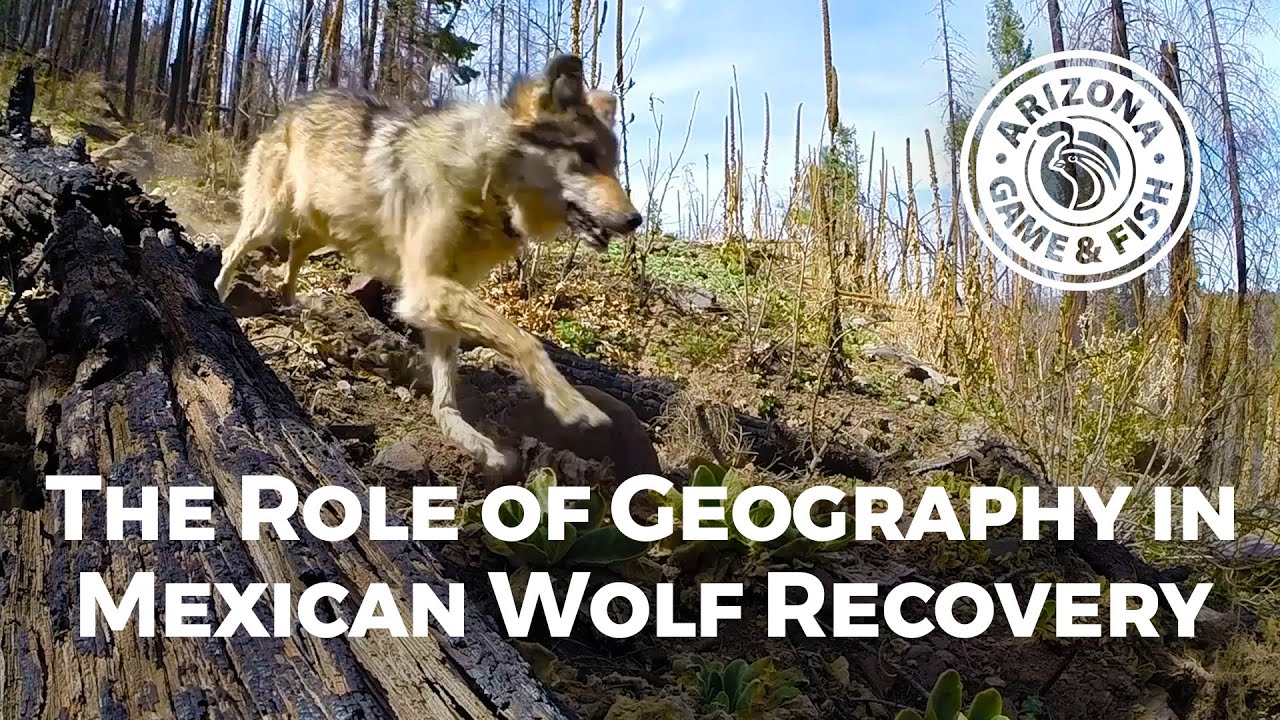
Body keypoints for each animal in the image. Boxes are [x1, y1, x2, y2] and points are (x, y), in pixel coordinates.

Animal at [214, 54, 642, 471]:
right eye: (586, 157)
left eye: (614, 163)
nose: (634, 220)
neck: (487, 186)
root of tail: (291, 105)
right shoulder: (424, 290)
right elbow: (525, 339)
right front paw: (573, 404)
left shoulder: (441, 295)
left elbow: (447, 386)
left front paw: (465, 435)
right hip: (269, 220)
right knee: (232, 252)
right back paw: (218, 292)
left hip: (324, 229)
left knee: (296, 252)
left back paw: (290, 302)